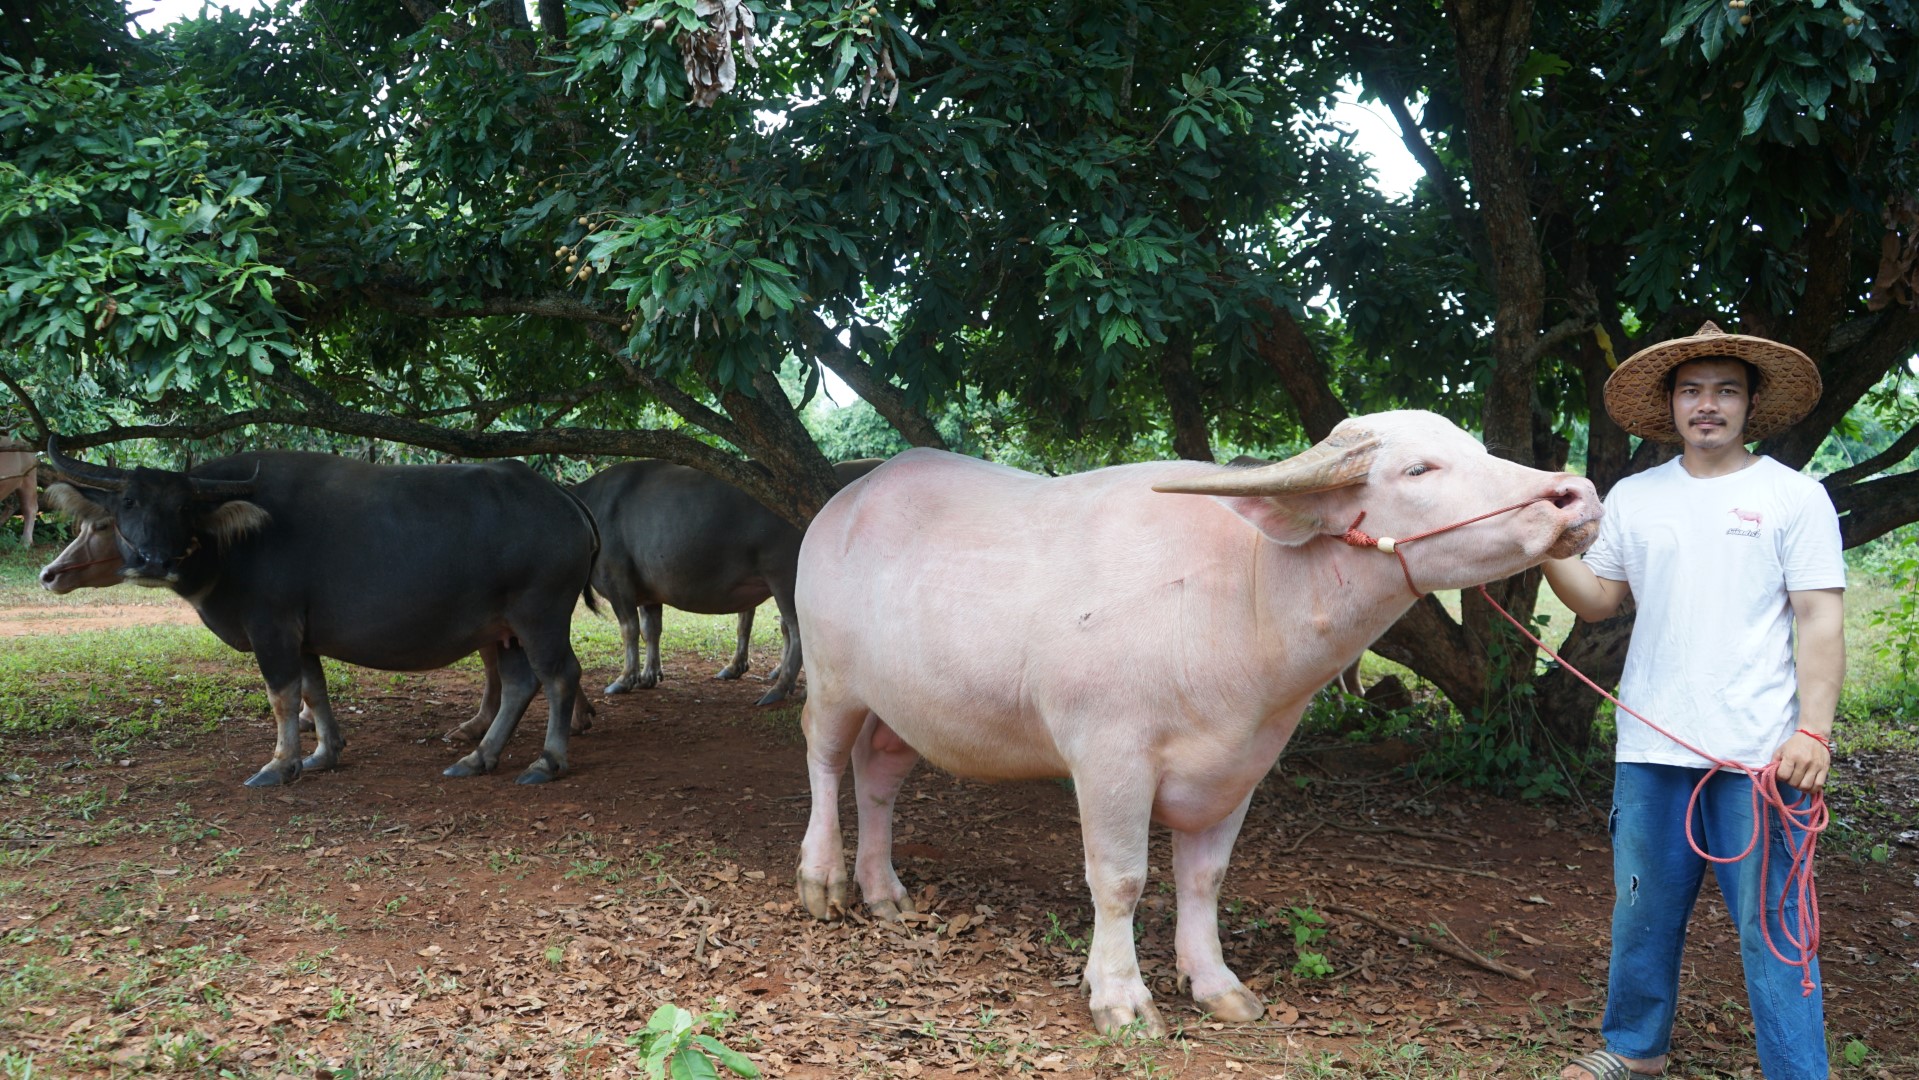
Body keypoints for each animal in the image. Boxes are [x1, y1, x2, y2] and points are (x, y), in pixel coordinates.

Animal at [46, 443, 598, 790]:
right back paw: (479, 757)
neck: (236, 540)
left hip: (540, 614)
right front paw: (323, 754)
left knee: (559, 676)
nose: (154, 560)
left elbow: (283, 697)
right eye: (128, 502)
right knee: (520, 684)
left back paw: (547, 761)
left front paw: (279, 764)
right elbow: (314, 690)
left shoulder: (271, 627)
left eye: (183, 508)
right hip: (506, 629)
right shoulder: (302, 636)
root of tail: (560, 496)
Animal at [571, 458, 878, 705]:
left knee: (796, 629)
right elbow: (651, 630)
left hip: (784, 578)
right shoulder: (648, 592)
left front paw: (624, 679)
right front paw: (649, 675)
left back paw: (779, 688)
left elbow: (629, 630)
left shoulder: (617, 582)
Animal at [794, 410, 1604, 1035]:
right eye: (1417, 469)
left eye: (1475, 447)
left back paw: (884, 892)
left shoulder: (1238, 766)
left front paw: (1215, 984)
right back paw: (823, 882)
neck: (1244, 596)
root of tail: (842, 504)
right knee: (826, 761)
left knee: (877, 776)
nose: (1576, 494)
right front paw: (1120, 998)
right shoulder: (1108, 757)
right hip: (833, 681)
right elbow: (1119, 880)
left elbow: (1205, 878)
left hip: (903, 706)